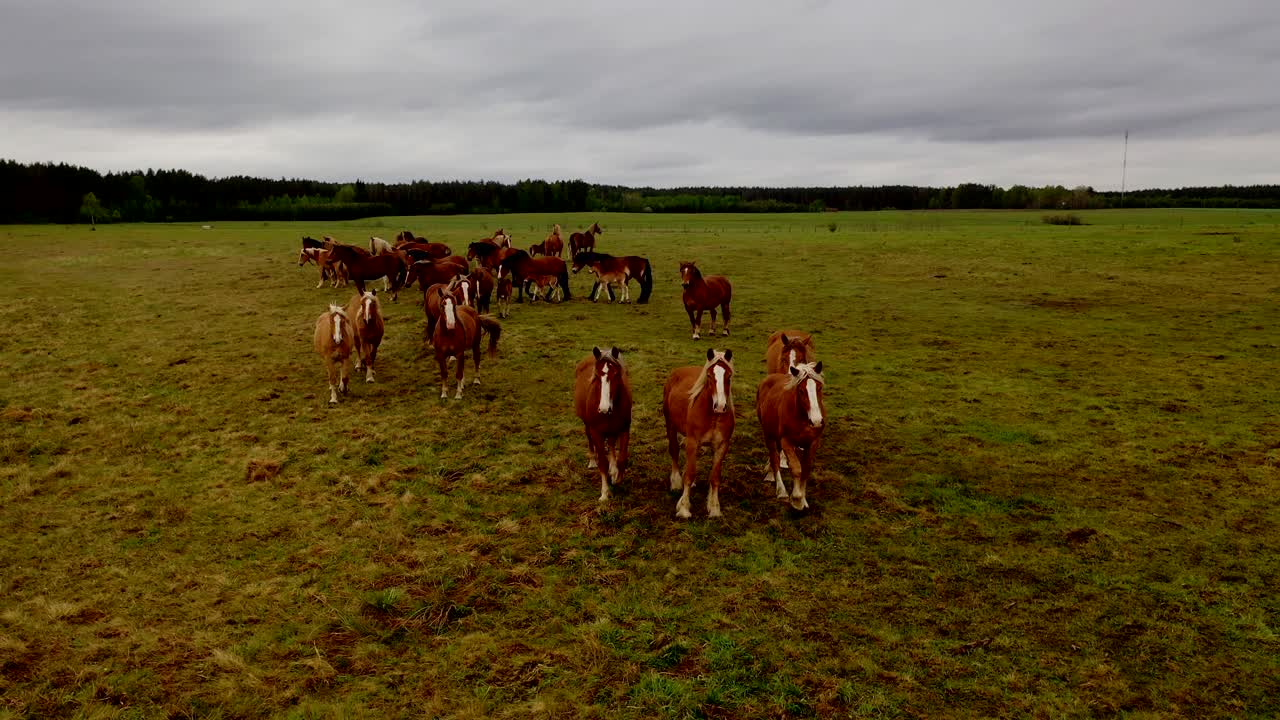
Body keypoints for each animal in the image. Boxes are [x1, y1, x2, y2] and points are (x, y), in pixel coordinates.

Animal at [574, 346, 632, 501]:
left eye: (616, 375)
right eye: (597, 376)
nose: (604, 409)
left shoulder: (624, 429)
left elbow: (622, 459)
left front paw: (617, 477)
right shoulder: (596, 432)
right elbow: (603, 462)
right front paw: (605, 493)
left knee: (611, 443)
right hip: (587, 425)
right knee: (589, 438)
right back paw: (592, 461)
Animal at [661, 349, 736, 519]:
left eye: (729, 376)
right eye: (709, 376)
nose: (720, 406)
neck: (713, 416)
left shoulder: (722, 446)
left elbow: (715, 477)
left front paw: (714, 508)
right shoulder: (692, 441)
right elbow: (689, 474)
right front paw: (684, 508)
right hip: (670, 425)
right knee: (674, 450)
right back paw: (676, 482)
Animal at [757, 362, 826, 511]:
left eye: (819, 387)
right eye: (801, 391)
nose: (817, 421)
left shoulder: (813, 442)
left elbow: (806, 469)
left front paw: (803, 499)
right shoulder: (786, 441)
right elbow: (796, 468)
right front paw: (797, 500)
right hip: (769, 434)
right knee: (775, 458)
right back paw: (781, 490)